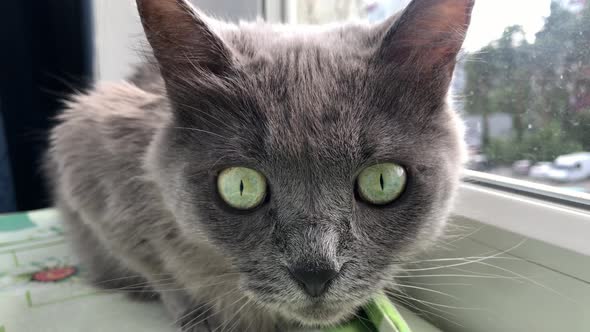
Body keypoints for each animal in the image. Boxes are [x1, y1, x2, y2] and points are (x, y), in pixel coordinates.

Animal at [46, 0, 476, 330]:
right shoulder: (88, 162)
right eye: (240, 186)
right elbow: (161, 271)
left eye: (383, 181)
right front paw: (199, 318)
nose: (316, 272)